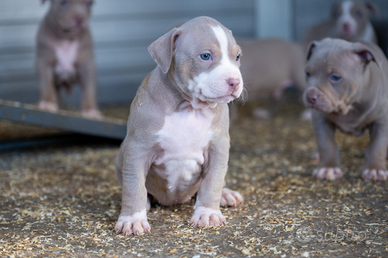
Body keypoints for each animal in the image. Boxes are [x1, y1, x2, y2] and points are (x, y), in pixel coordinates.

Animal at [304, 37, 388, 180]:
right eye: (308, 73)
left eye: (336, 77)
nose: (310, 97)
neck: (348, 106)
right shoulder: (321, 120)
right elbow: (326, 143)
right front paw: (328, 168)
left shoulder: (382, 121)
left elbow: (377, 145)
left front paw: (375, 169)